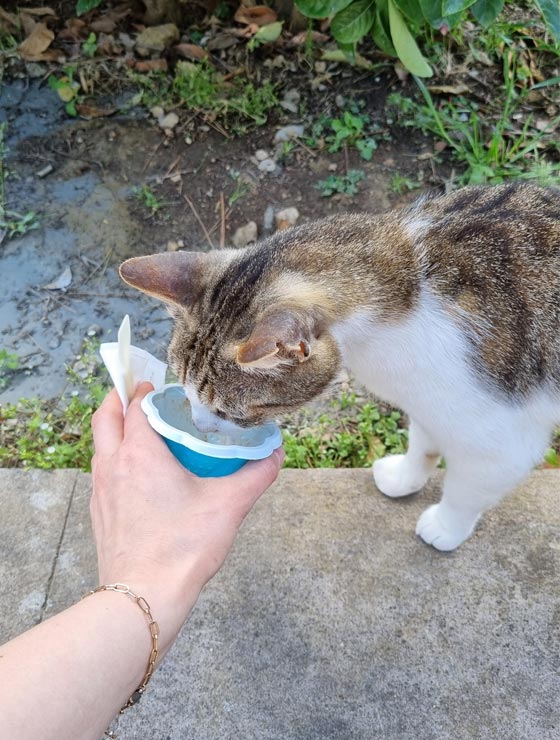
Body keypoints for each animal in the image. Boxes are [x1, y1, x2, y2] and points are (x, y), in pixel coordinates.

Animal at [119, 184, 560, 548]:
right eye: (184, 390)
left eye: (227, 411)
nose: (200, 426)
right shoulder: (430, 399)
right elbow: (423, 440)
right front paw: (405, 477)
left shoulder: (498, 439)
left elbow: (468, 487)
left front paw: (446, 527)